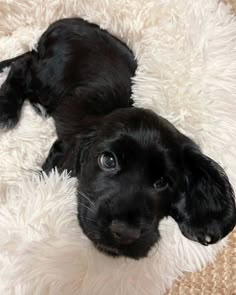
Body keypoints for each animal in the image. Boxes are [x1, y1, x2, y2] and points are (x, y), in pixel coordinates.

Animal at [0, 19, 235, 260]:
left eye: (163, 182)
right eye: (108, 161)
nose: (125, 233)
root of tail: (66, 21)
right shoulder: (62, 150)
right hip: (49, 80)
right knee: (23, 64)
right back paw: (7, 111)